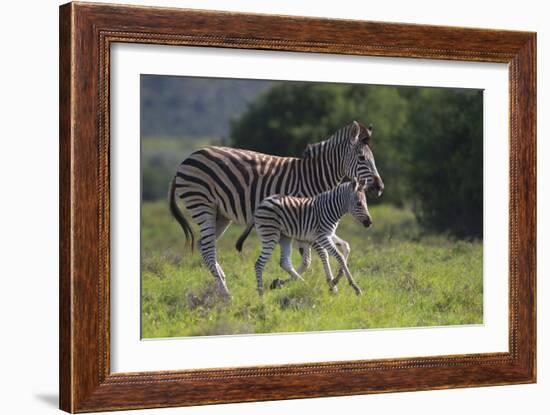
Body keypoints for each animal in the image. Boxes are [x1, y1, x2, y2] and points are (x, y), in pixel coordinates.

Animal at [236, 179, 370, 296]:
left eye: (365, 203)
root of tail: (261, 203)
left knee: (285, 262)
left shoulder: (329, 234)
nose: (370, 222)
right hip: (270, 234)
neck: (330, 209)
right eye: (359, 203)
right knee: (259, 264)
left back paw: (303, 285)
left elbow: (346, 246)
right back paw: (261, 295)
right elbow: (340, 257)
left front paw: (336, 278)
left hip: (284, 237)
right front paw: (355, 287)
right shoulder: (322, 236)